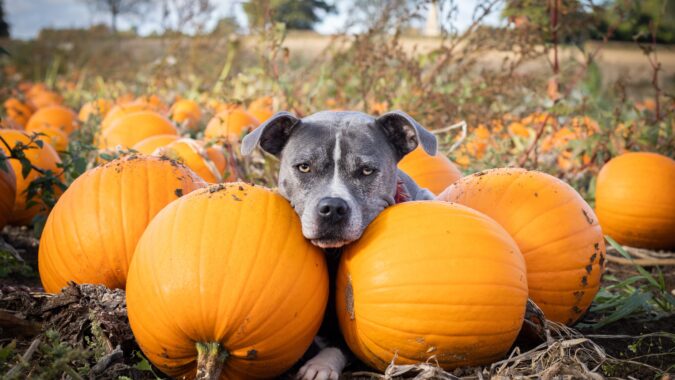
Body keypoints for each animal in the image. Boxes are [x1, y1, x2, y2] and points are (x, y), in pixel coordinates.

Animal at [243, 110, 438, 380]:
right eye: (304, 167)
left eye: (366, 171)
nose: (333, 208)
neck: (332, 253)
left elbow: (344, 343)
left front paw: (320, 365)